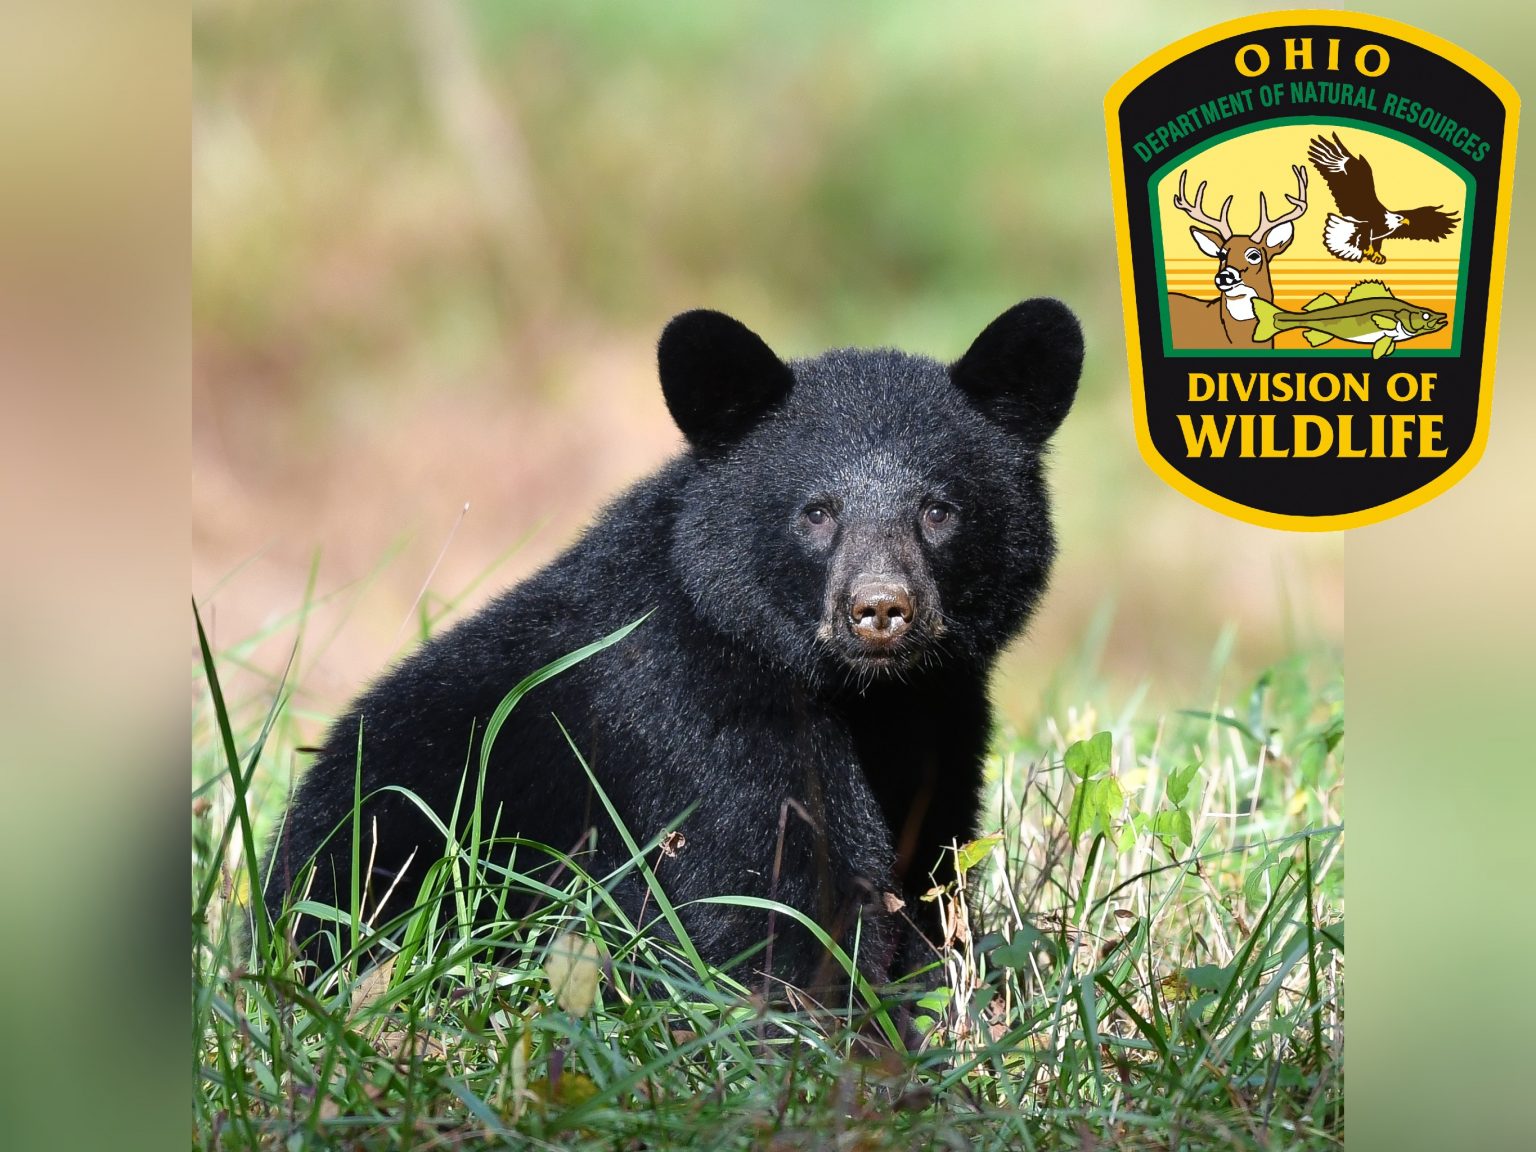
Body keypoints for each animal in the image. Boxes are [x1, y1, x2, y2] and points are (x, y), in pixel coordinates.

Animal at [262, 298, 1083, 996]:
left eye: (939, 510)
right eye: (816, 512)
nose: (880, 609)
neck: (861, 695)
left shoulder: (939, 712)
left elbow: (932, 863)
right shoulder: (694, 709)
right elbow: (765, 890)